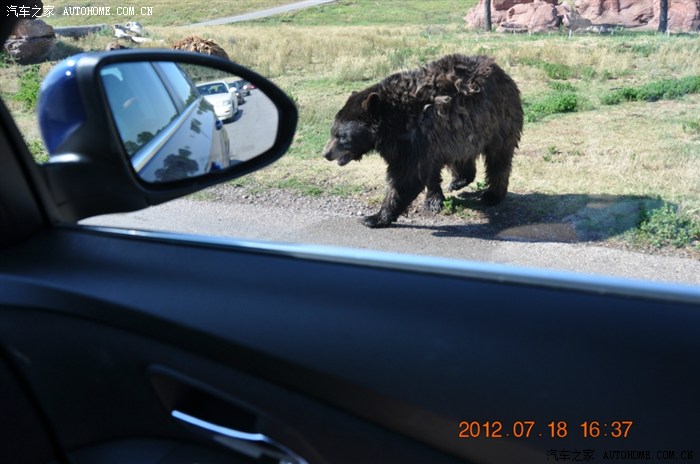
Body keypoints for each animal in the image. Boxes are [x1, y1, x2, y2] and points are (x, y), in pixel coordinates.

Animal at [322, 54, 523, 228]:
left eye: (342, 136)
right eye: (333, 131)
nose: (326, 153)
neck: (392, 122)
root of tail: (500, 71)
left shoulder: (415, 137)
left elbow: (407, 176)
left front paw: (375, 217)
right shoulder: (421, 141)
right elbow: (425, 170)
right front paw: (432, 199)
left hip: (496, 122)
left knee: (498, 159)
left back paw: (492, 194)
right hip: (460, 131)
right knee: (459, 155)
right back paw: (456, 181)